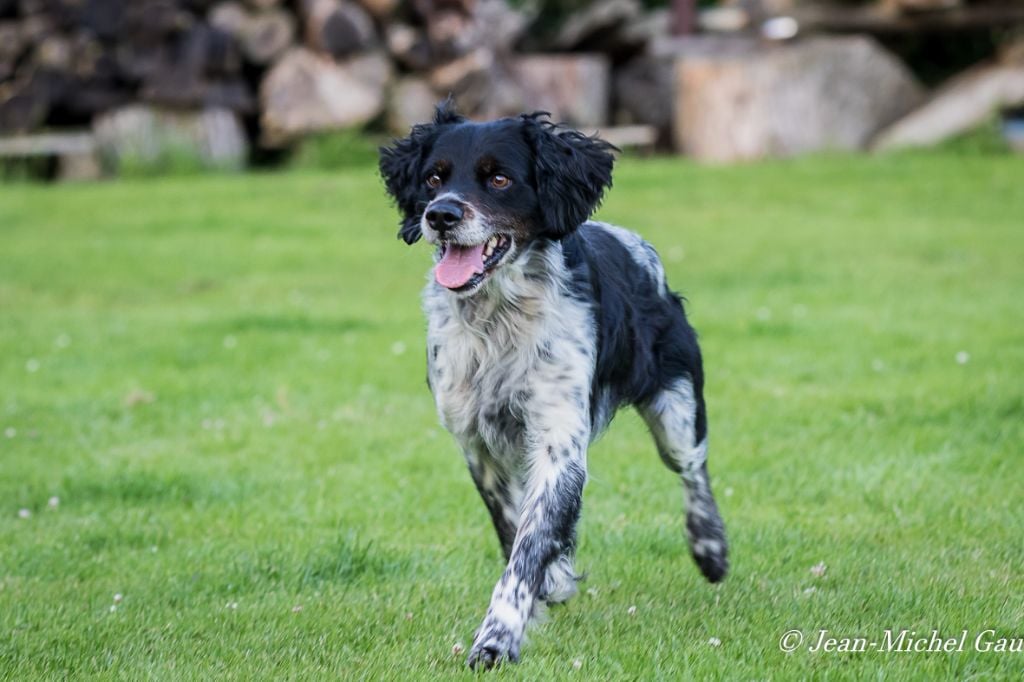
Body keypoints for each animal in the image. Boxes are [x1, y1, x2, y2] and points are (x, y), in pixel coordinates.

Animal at [378, 103, 729, 667]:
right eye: (433, 178)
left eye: (499, 178)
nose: (440, 215)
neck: (498, 318)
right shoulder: (477, 441)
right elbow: (516, 525)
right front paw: (555, 577)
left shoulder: (558, 435)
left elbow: (528, 546)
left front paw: (497, 638)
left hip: (677, 409)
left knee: (694, 471)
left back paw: (710, 548)